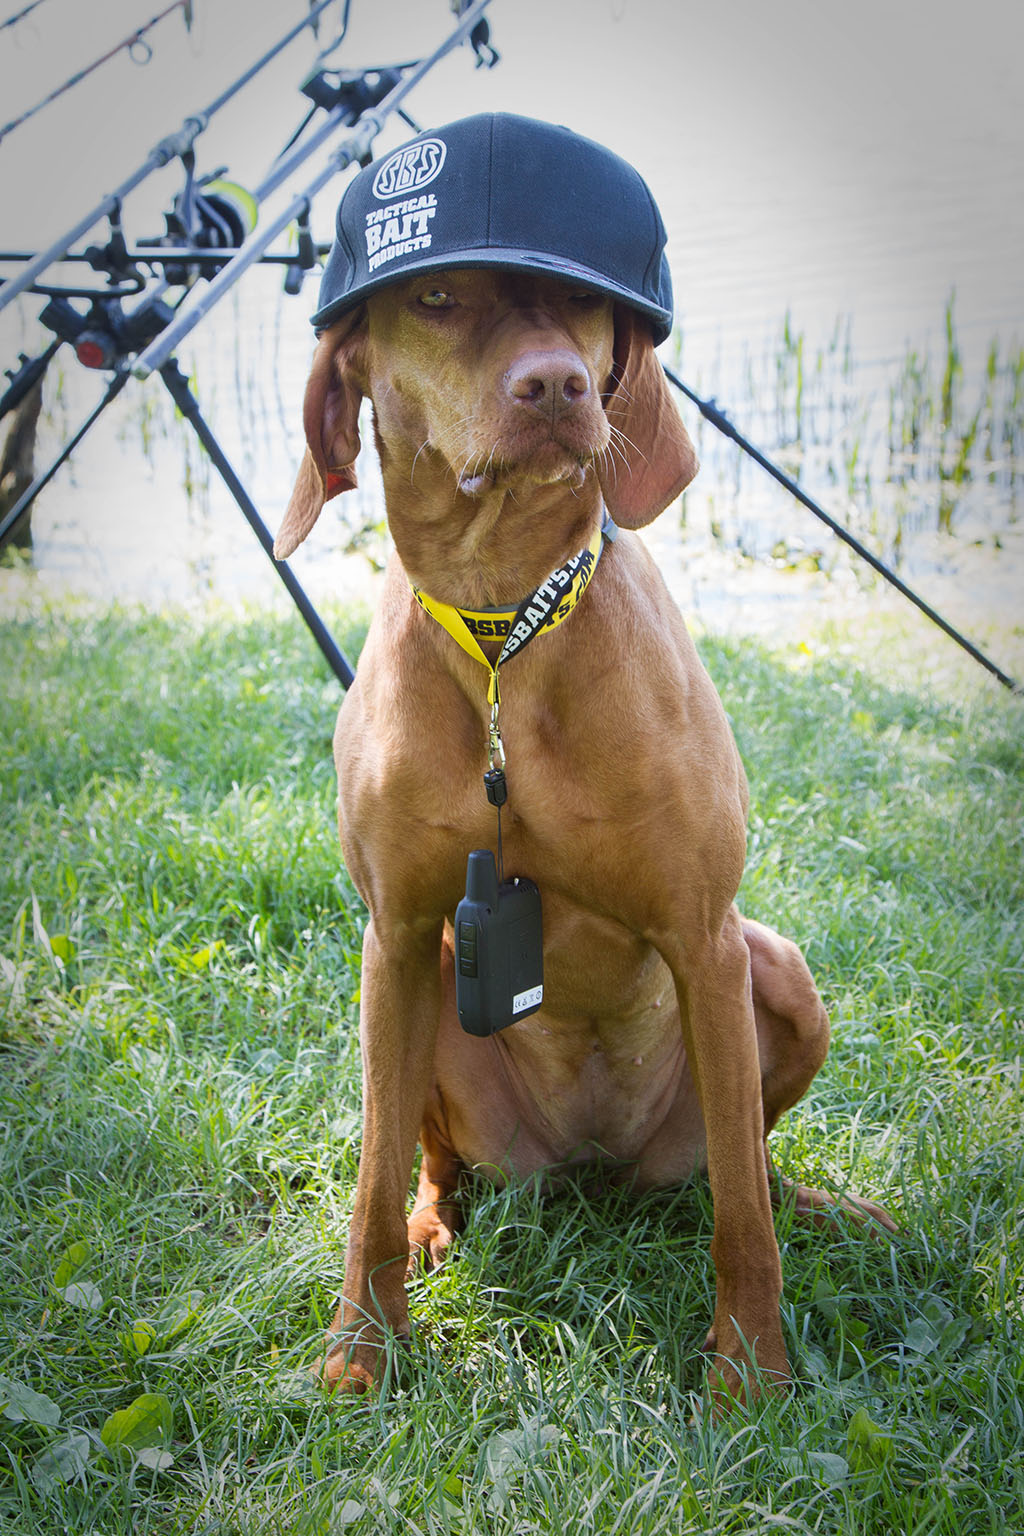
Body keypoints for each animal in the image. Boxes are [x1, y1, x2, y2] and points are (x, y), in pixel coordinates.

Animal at [276, 261, 890, 1406]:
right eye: (435, 298)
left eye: (578, 306)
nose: (557, 384)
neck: (502, 625)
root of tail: (596, 1164)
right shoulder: (397, 931)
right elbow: (369, 1182)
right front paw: (361, 1348)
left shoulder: (705, 937)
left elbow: (743, 1219)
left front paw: (751, 1372)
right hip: (433, 986)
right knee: (430, 1164)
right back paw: (433, 1228)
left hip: (774, 973)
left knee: (747, 1165)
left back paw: (822, 1208)